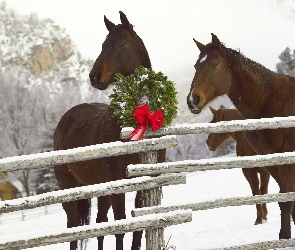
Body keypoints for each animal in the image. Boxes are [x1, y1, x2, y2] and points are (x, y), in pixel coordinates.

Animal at [54, 12, 165, 250]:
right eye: (103, 44)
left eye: (121, 43)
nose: (94, 77)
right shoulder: (117, 184)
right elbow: (121, 227)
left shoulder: (144, 182)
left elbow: (137, 228)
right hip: (70, 189)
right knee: (74, 228)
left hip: (101, 189)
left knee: (100, 224)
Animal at [188, 32, 295, 239]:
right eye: (196, 66)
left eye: (214, 64)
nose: (192, 100)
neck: (271, 101)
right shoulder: (272, 163)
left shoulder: (286, 160)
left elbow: (286, 201)